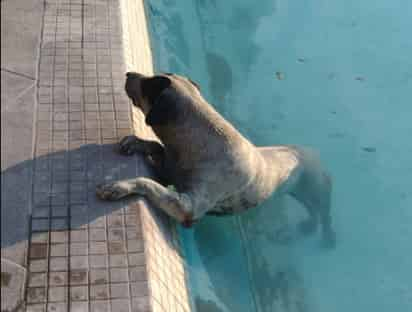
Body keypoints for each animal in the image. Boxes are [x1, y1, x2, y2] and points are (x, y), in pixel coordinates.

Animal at [97, 72, 338, 247]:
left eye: (148, 83)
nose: (128, 74)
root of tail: (312, 151)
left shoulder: (186, 207)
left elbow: (148, 183)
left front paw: (119, 186)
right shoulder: (170, 169)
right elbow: (156, 147)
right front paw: (136, 142)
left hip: (316, 189)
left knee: (324, 214)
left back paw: (326, 238)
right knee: (313, 213)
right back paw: (307, 226)